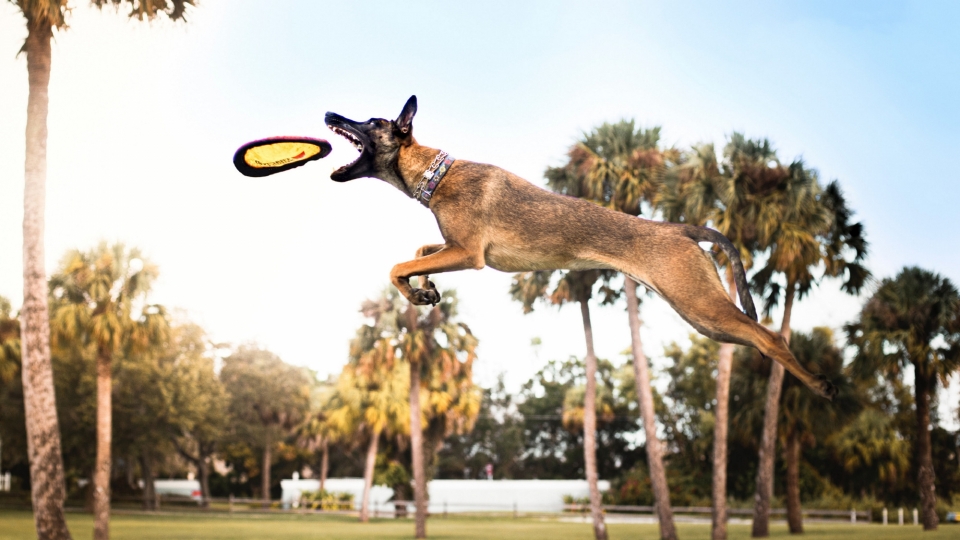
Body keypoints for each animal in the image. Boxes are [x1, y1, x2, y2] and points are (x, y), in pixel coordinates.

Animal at [322, 97, 832, 400]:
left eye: (371, 122)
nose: (330, 115)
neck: (438, 173)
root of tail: (680, 230)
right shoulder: (453, 247)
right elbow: (417, 252)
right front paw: (423, 290)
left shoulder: (468, 255)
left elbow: (396, 264)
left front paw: (415, 287)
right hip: (704, 318)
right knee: (758, 339)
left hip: (701, 304)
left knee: (770, 336)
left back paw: (819, 383)